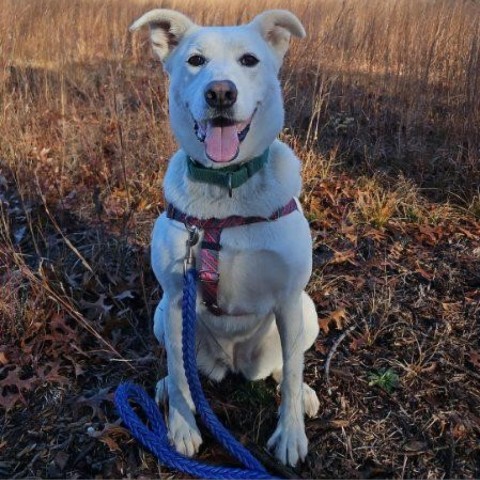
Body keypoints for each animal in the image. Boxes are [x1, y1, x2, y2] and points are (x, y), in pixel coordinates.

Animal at [129, 8, 320, 464]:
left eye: (249, 60)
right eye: (195, 60)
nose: (220, 93)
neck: (227, 187)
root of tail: (234, 363)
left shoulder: (289, 299)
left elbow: (291, 374)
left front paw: (291, 434)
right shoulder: (175, 298)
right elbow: (180, 371)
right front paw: (182, 426)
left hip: (308, 312)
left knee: (286, 366)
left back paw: (303, 393)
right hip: (160, 315)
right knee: (179, 365)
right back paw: (166, 390)